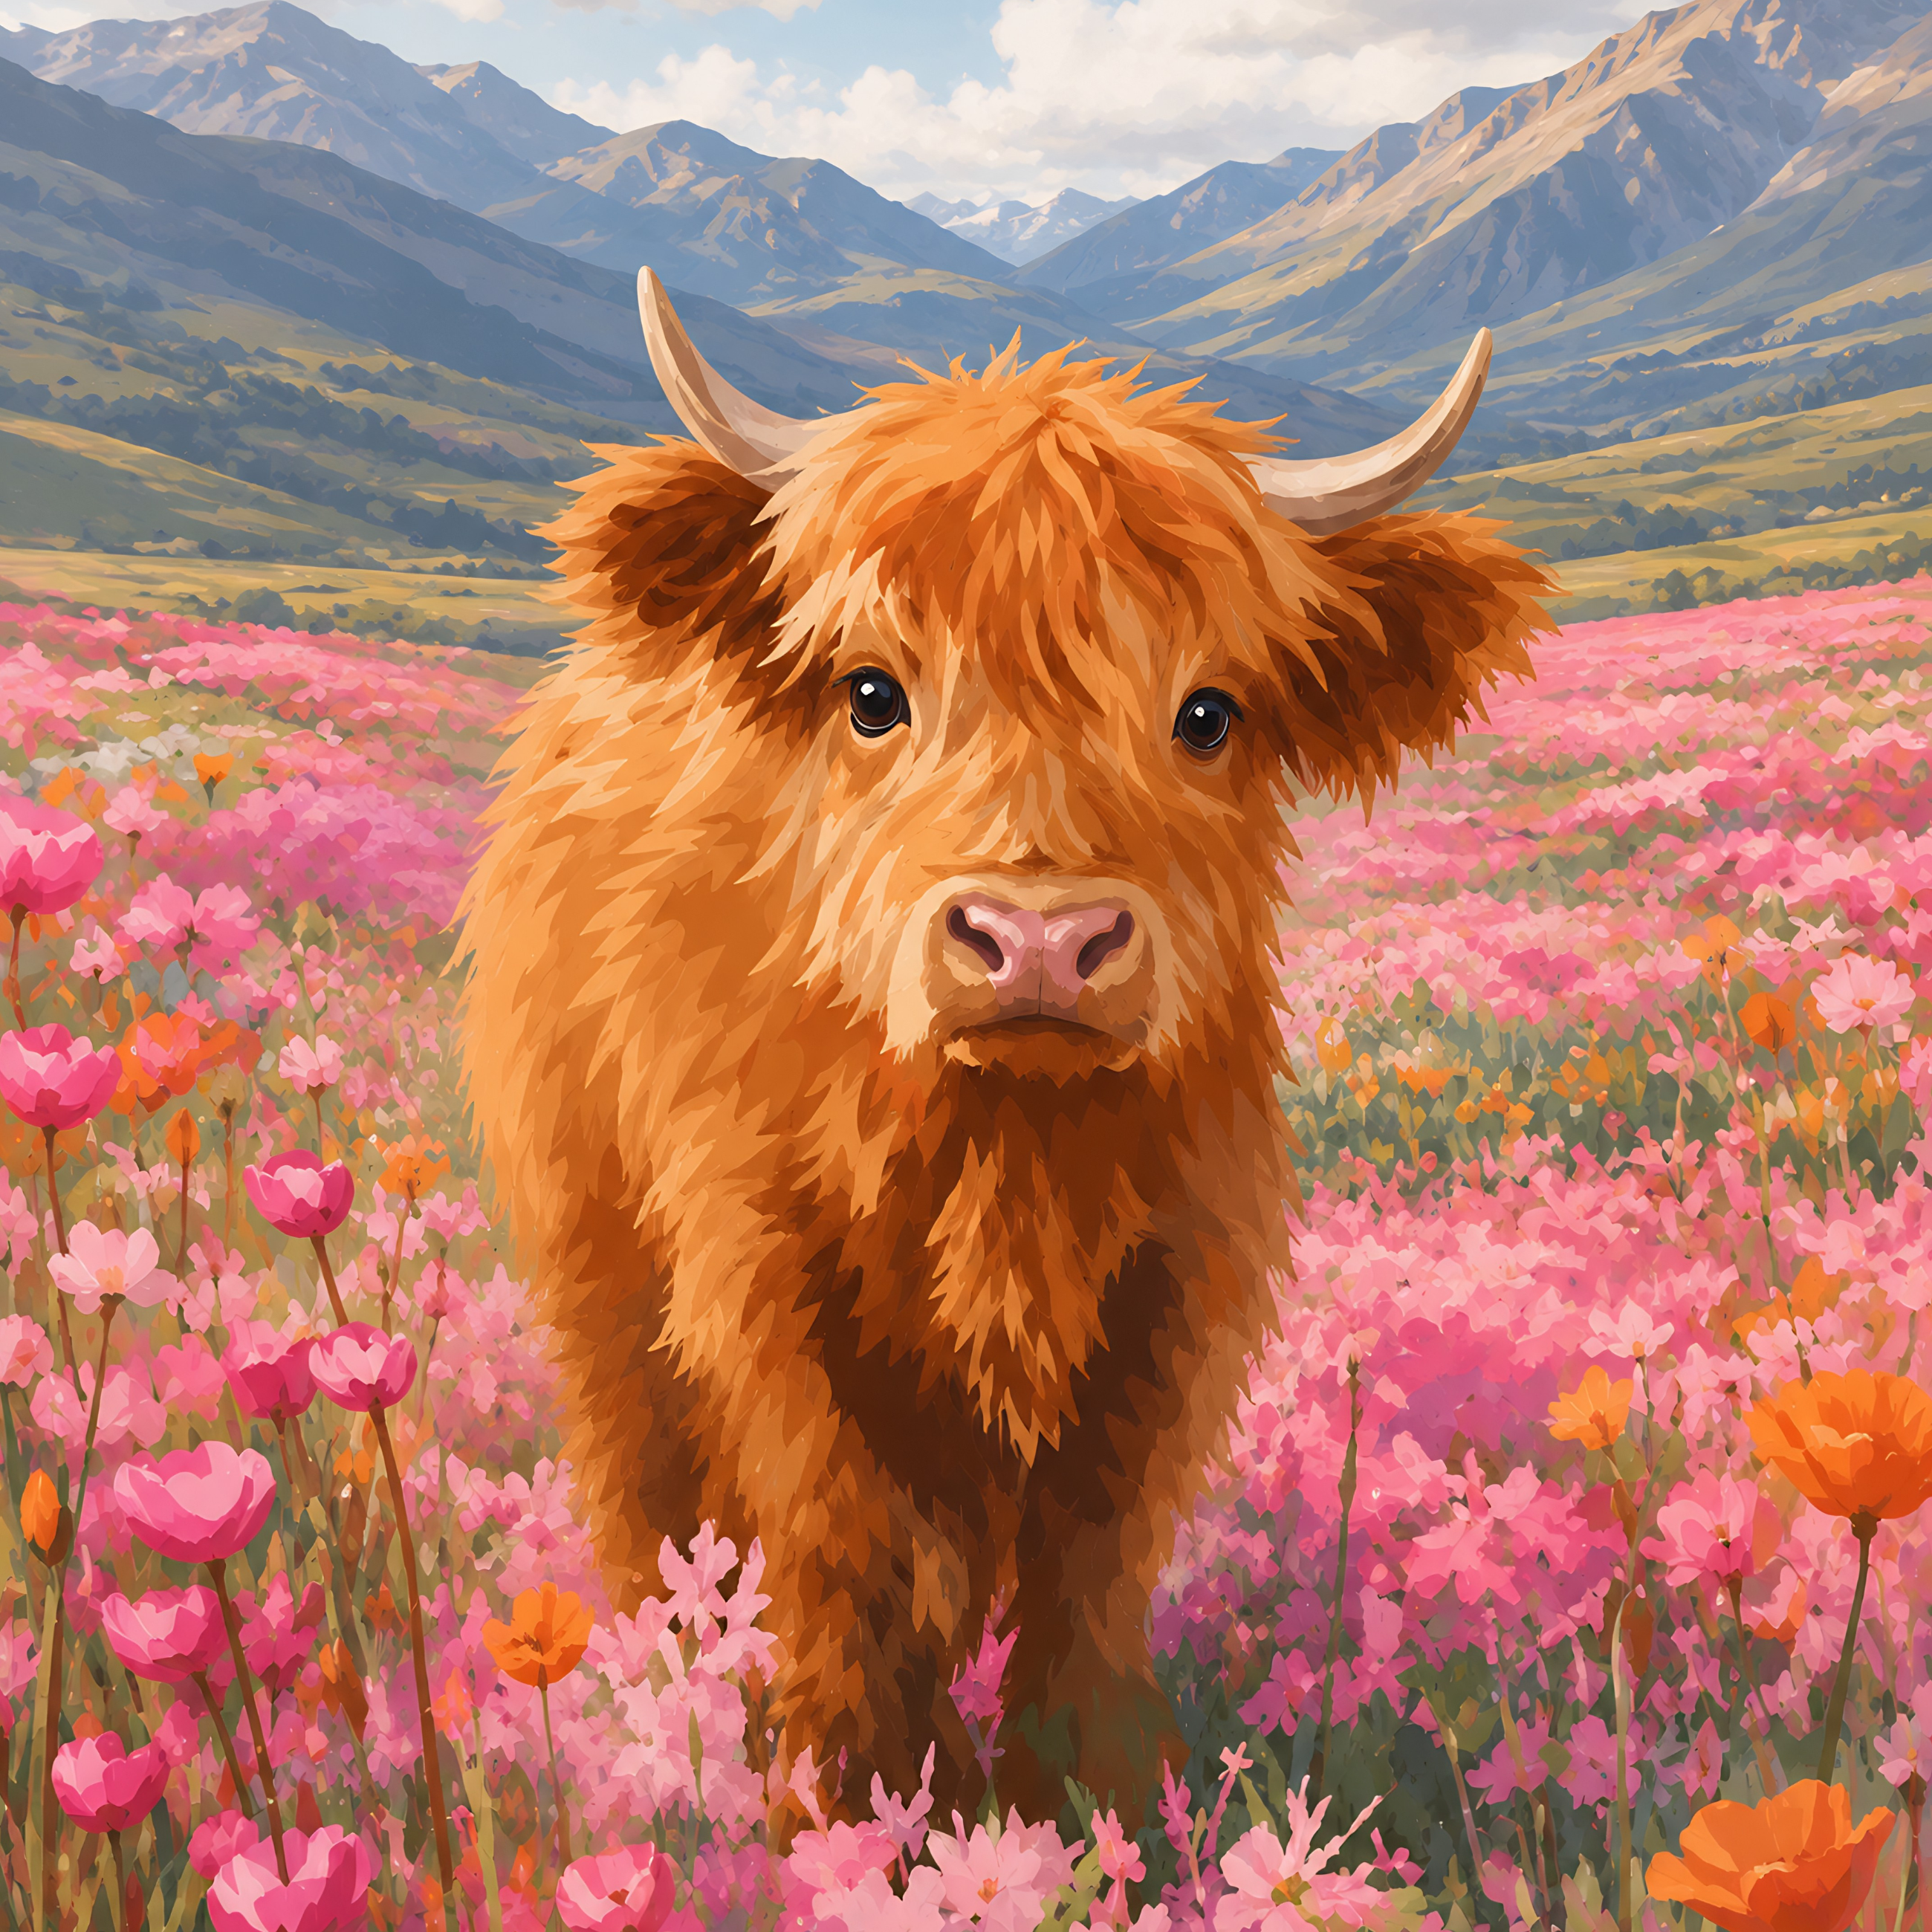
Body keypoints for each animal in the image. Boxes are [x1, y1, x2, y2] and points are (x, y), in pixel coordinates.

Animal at [455, 269, 1551, 1831]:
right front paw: (844, 1809)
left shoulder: (1179, 1291)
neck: (1008, 1167)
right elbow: (842, 1549)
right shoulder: (767, 1292)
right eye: (871, 693)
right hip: (596, 1270)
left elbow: (1096, 1561)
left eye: (1208, 713)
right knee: (647, 1493)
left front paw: (1094, 1803)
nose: (1040, 942)